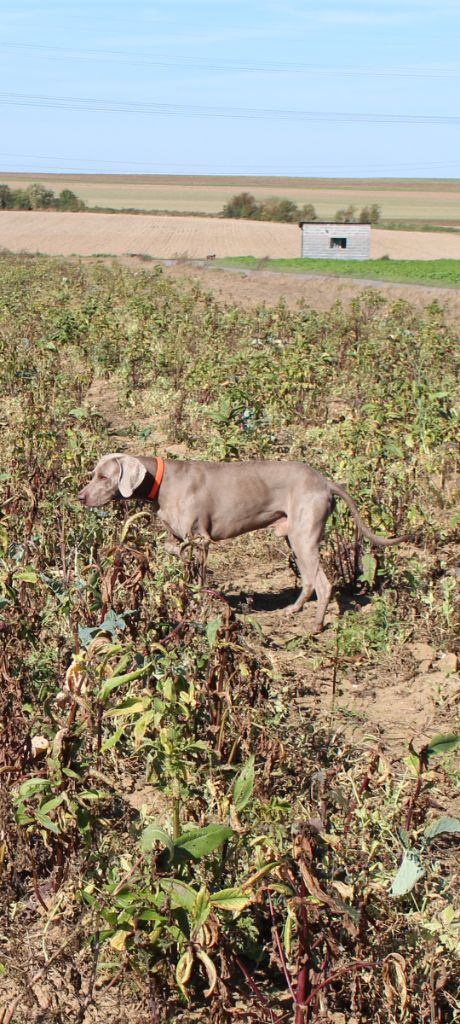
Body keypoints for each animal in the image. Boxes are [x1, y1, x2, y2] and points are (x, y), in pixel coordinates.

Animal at [77, 454, 405, 630]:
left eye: (104, 477)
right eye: (93, 474)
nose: (80, 497)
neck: (161, 481)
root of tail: (325, 482)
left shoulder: (201, 540)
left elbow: (196, 575)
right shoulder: (180, 537)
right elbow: (170, 551)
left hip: (304, 535)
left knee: (324, 583)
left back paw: (315, 626)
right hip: (294, 536)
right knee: (311, 579)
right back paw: (294, 610)